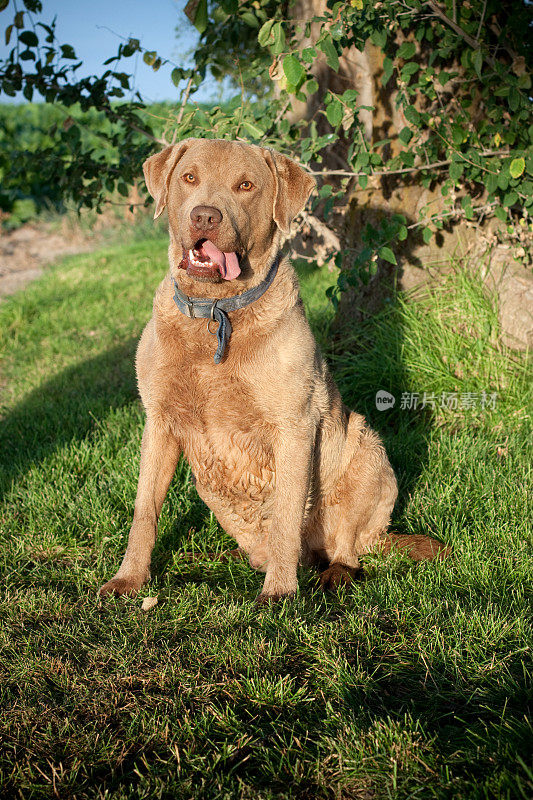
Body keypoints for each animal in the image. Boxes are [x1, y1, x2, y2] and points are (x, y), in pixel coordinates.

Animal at [98, 138, 444, 604]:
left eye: (245, 185)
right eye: (189, 177)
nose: (204, 215)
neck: (217, 310)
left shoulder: (294, 425)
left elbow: (285, 515)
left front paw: (279, 593)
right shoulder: (159, 421)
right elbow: (144, 510)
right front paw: (129, 579)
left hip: (368, 450)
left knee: (348, 545)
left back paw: (332, 574)